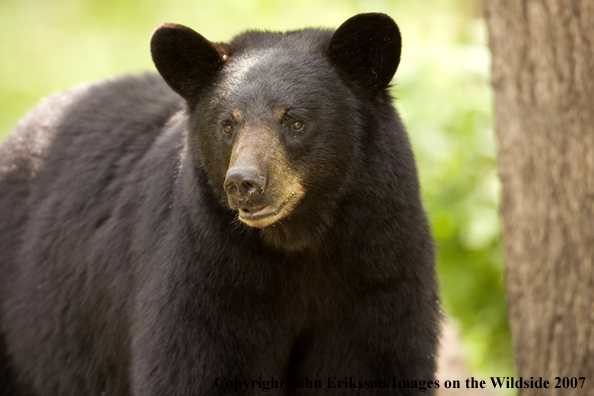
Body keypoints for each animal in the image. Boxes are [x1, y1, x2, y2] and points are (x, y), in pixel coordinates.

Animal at [1, 13, 440, 396]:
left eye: (295, 121)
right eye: (228, 124)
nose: (244, 183)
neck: (299, 244)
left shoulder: (379, 277)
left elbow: (374, 367)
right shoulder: (208, 278)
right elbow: (195, 368)